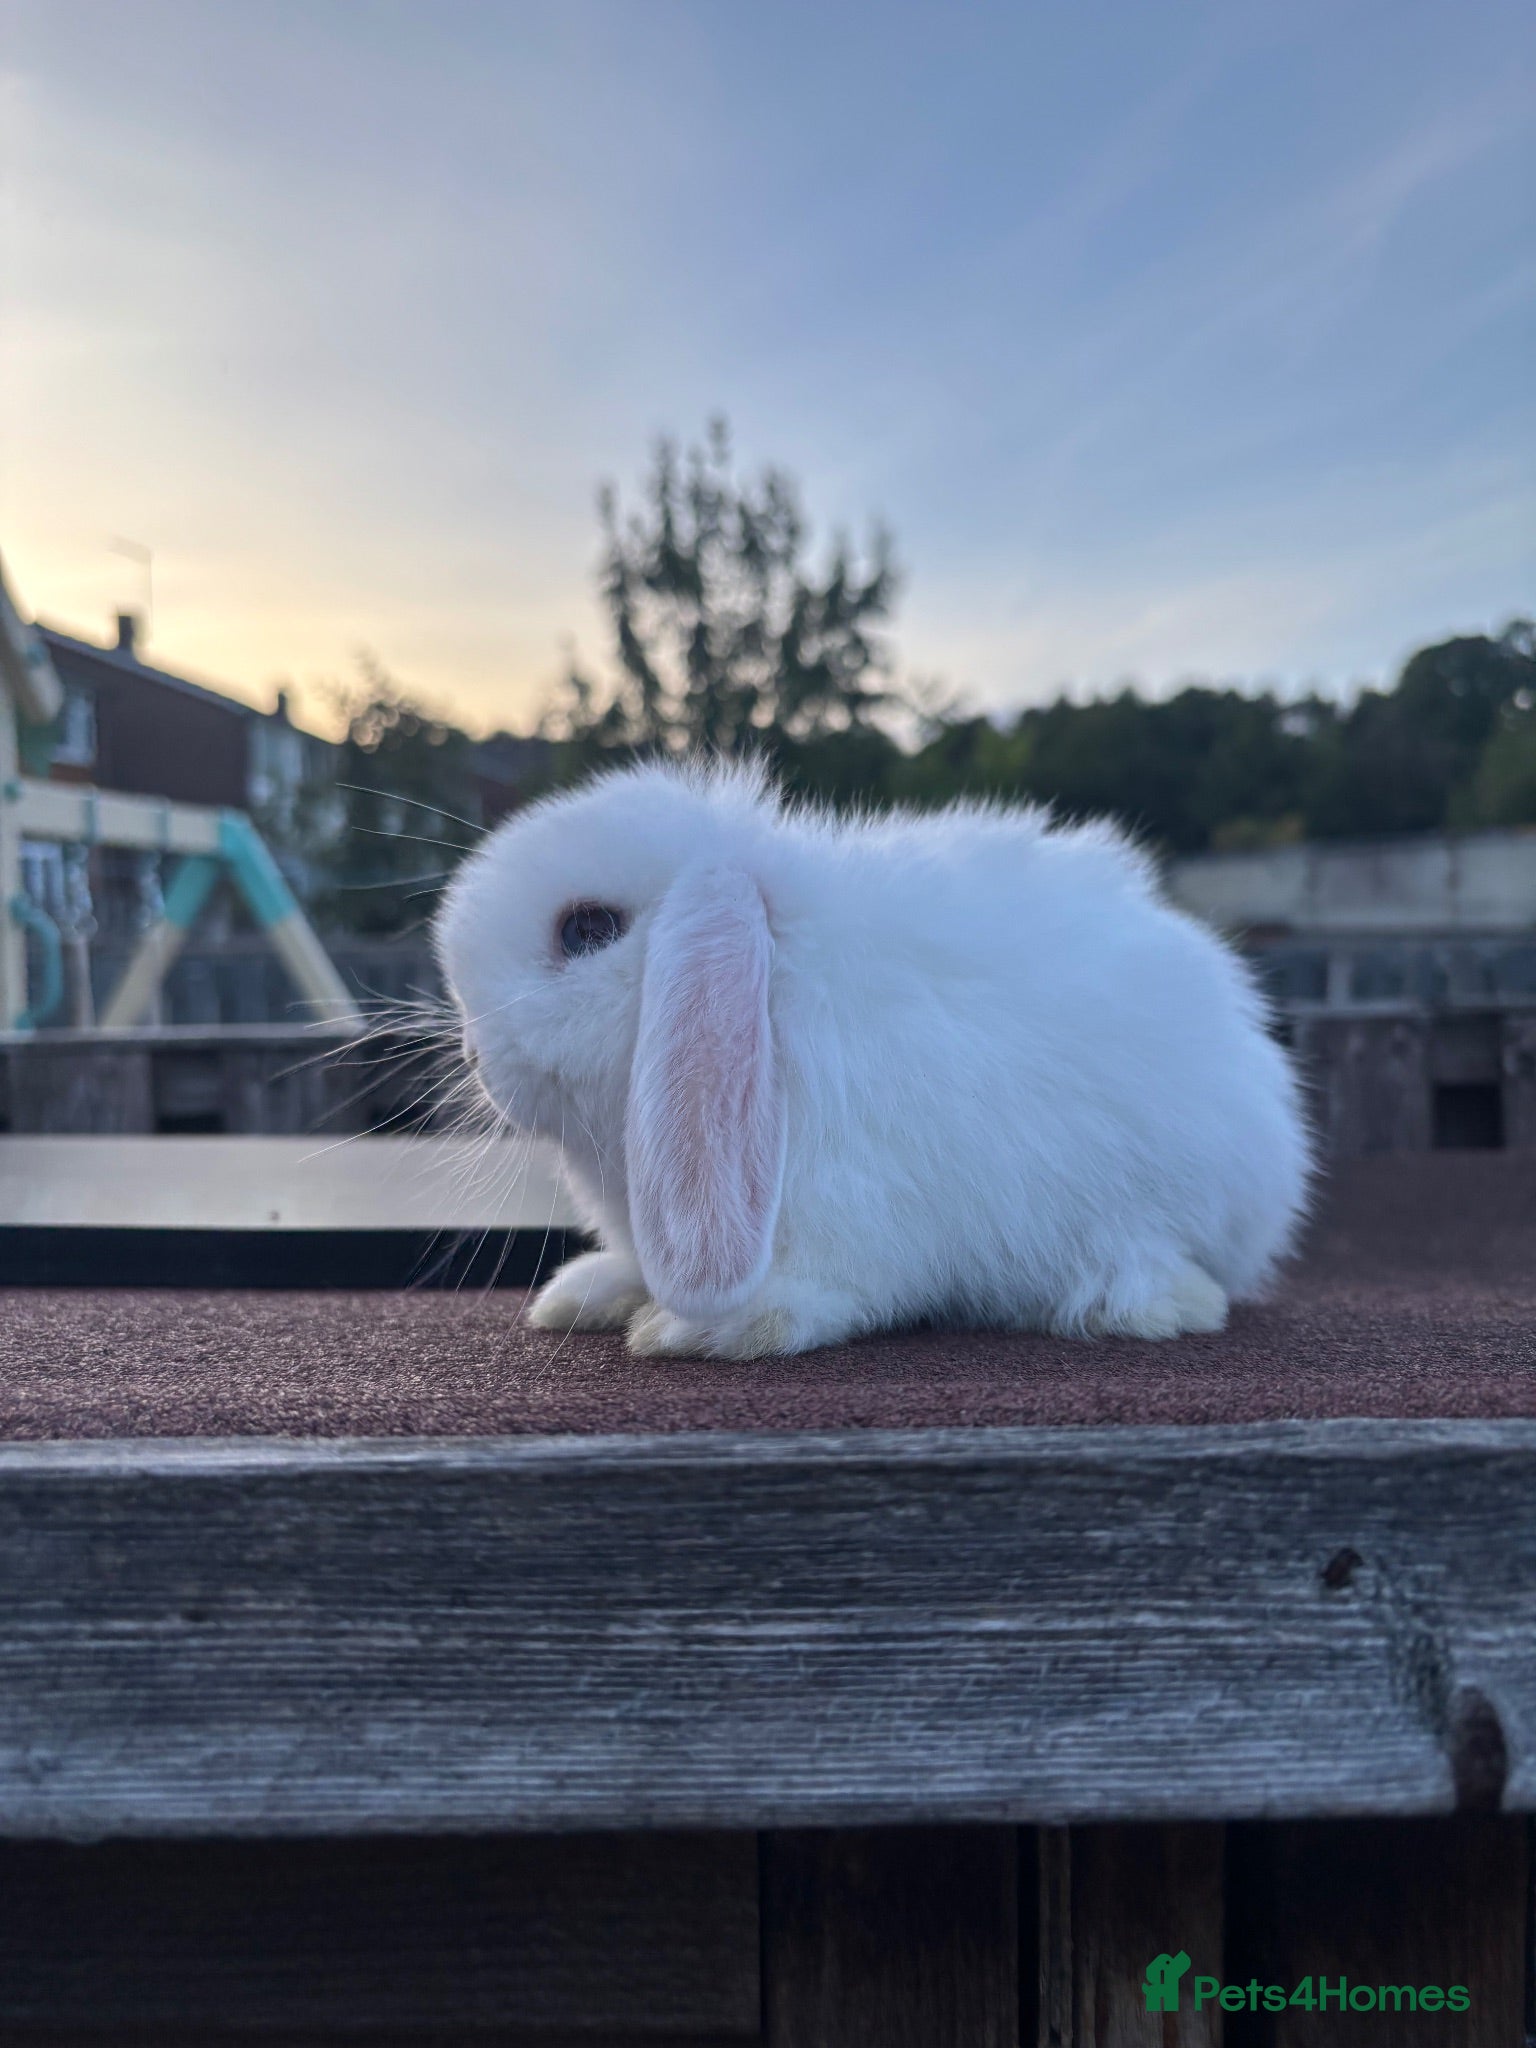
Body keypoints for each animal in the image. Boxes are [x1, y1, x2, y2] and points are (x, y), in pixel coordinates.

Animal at [433, 753, 1313, 1359]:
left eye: (586, 928)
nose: (475, 1055)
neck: (776, 991)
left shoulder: (854, 1216)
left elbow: (827, 1291)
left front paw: (707, 1329)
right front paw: (587, 1293)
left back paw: (1127, 1302)